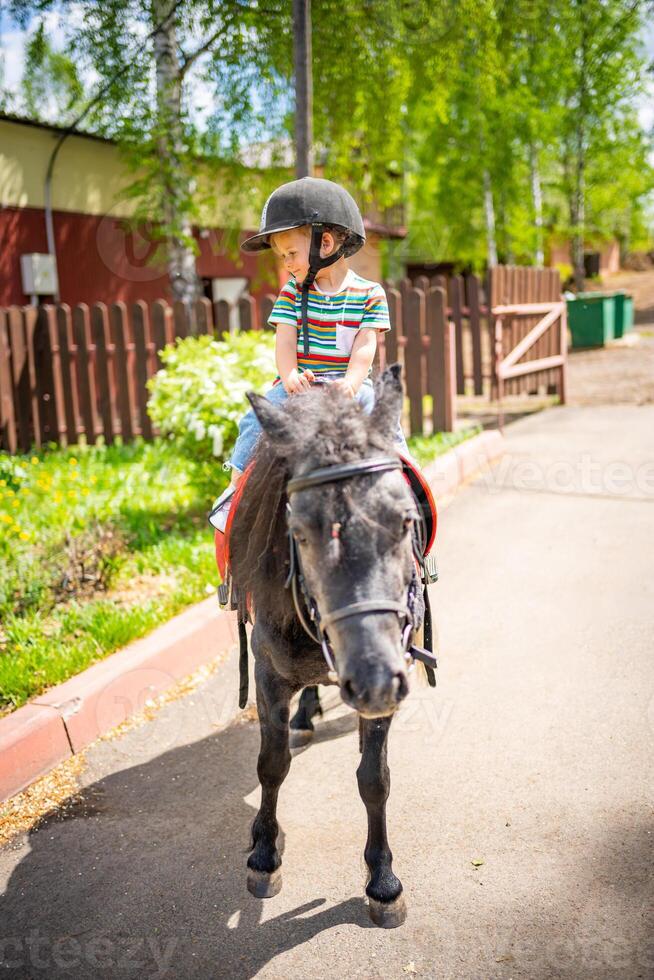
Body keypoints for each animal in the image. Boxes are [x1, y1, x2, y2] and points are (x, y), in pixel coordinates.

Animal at [231, 368, 430, 928]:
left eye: (405, 521)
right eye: (298, 530)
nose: (373, 679)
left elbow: (374, 778)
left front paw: (382, 880)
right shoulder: (267, 674)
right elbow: (271, 764)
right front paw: (264, 853)